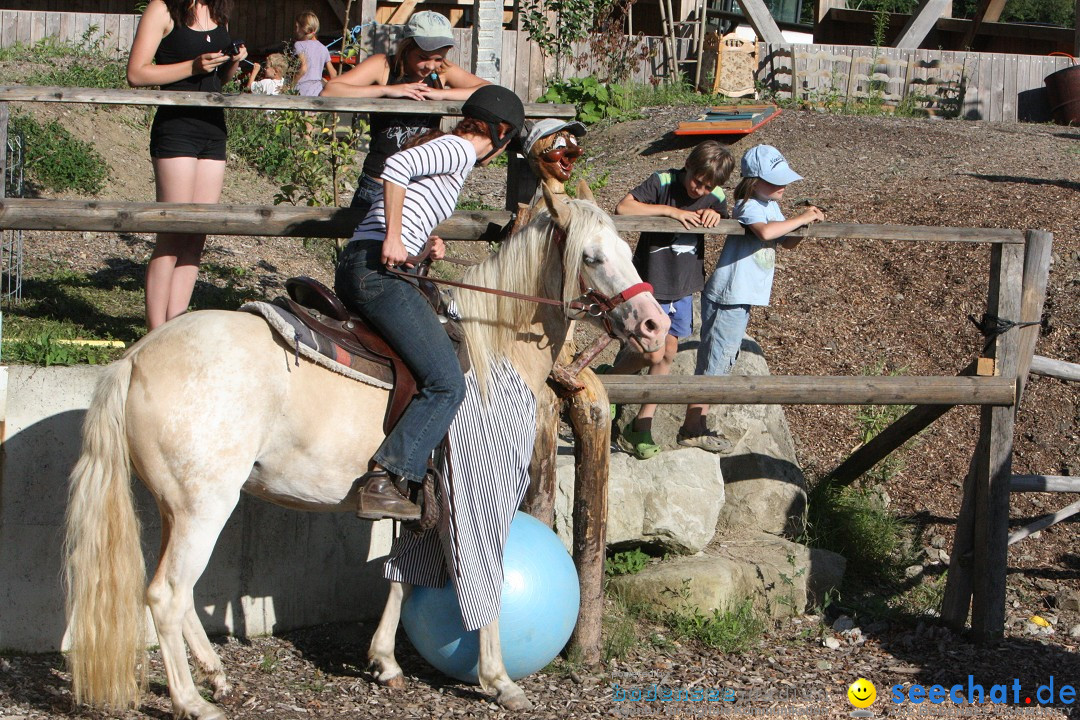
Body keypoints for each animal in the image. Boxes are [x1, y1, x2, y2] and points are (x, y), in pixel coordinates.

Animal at [63, 188, 665, 716]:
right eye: (592, 256)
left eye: (627, 251)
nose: (654, 323)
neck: (494, 353)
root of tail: (135, 358)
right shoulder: (478, 494)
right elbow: (484, 583)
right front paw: (499, 680)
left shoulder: (425, 503)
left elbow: (401, 576)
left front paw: (384, 662)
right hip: (203, 506)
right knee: (166, 595)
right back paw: (192, 702)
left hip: (178, 509)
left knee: (181, 595)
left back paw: (216, 674)